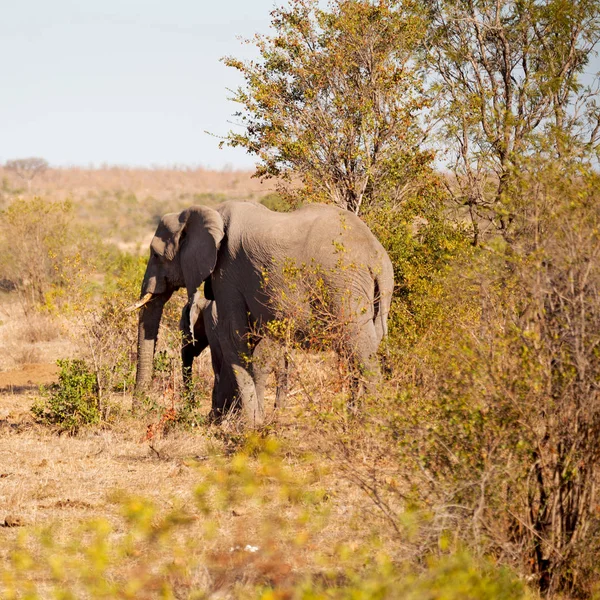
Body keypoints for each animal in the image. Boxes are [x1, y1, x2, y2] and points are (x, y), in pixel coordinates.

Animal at [130, 202, 394, 426]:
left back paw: (371, 422)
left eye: (156, 255)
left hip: (343, 285)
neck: (207, 212)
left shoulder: (227, 272)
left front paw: (247, 426)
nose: (139, 409)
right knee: (364, 345)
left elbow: (232, 336)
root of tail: (377, 257)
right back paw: (355, 420)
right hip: (374, 292)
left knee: (358, 346)